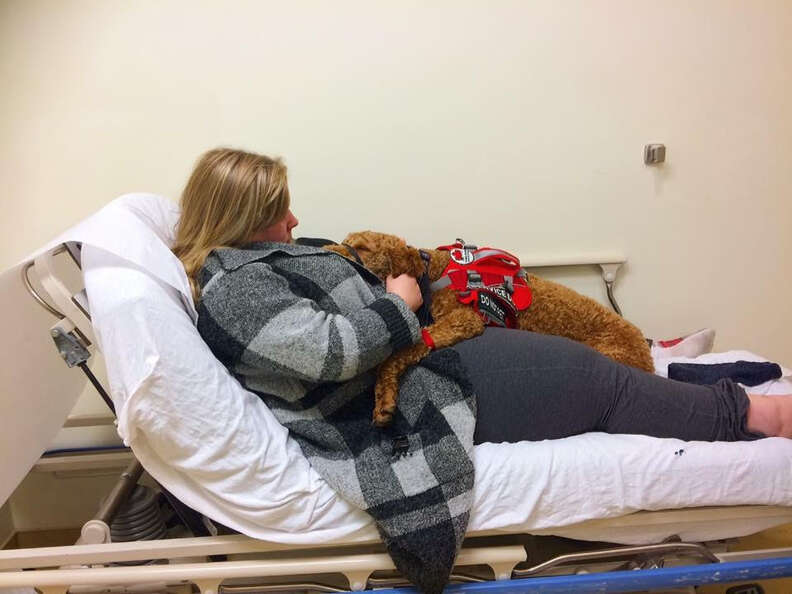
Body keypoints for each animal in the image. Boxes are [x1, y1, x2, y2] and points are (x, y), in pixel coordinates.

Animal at [324, 231, 652, 426]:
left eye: (362, 247)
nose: (325, 248)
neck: (433, 272)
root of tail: (647, 358)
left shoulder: (463, 319)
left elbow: (400, 353)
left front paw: (384, 399)